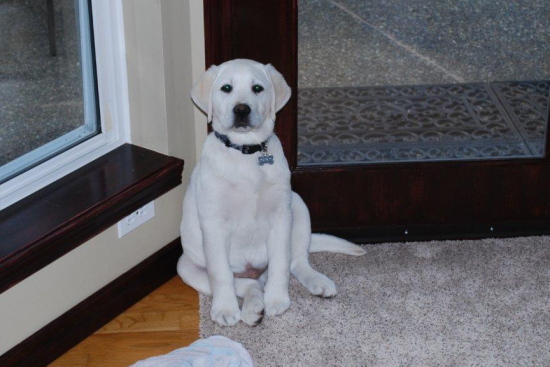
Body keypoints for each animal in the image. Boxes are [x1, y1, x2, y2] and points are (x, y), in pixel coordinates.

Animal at [178, 59, 366, 326]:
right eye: (226, 88)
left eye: (257, 88)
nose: (242, 110)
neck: (246, 152)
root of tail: (256, 272)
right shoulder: (213, 224)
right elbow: (221, 273)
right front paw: (225, 309)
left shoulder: (281, 216)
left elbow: (280, 263)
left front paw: (277, 300)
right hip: (186, 266)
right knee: (246, 284)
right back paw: (252, 309)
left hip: (298, 205)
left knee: (296, 261)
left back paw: (315, 282)